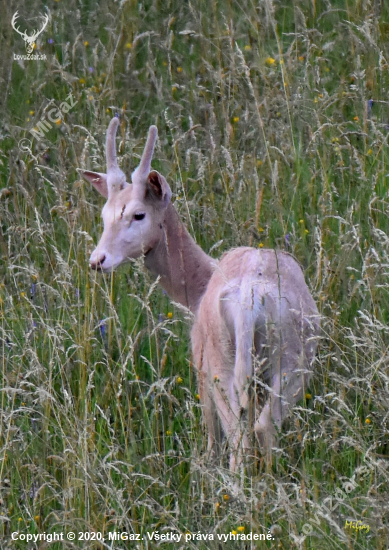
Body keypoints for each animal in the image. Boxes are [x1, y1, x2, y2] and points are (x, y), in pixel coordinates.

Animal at [78, 118, 318, 472]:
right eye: (104, 215)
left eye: (138, 214)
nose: (98, 260)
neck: (198, 289)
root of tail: (251, 300)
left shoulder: (199, 362)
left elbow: (210, 435)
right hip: (295, 356)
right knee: (264, 426)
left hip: (222, 363)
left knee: (239, 437)